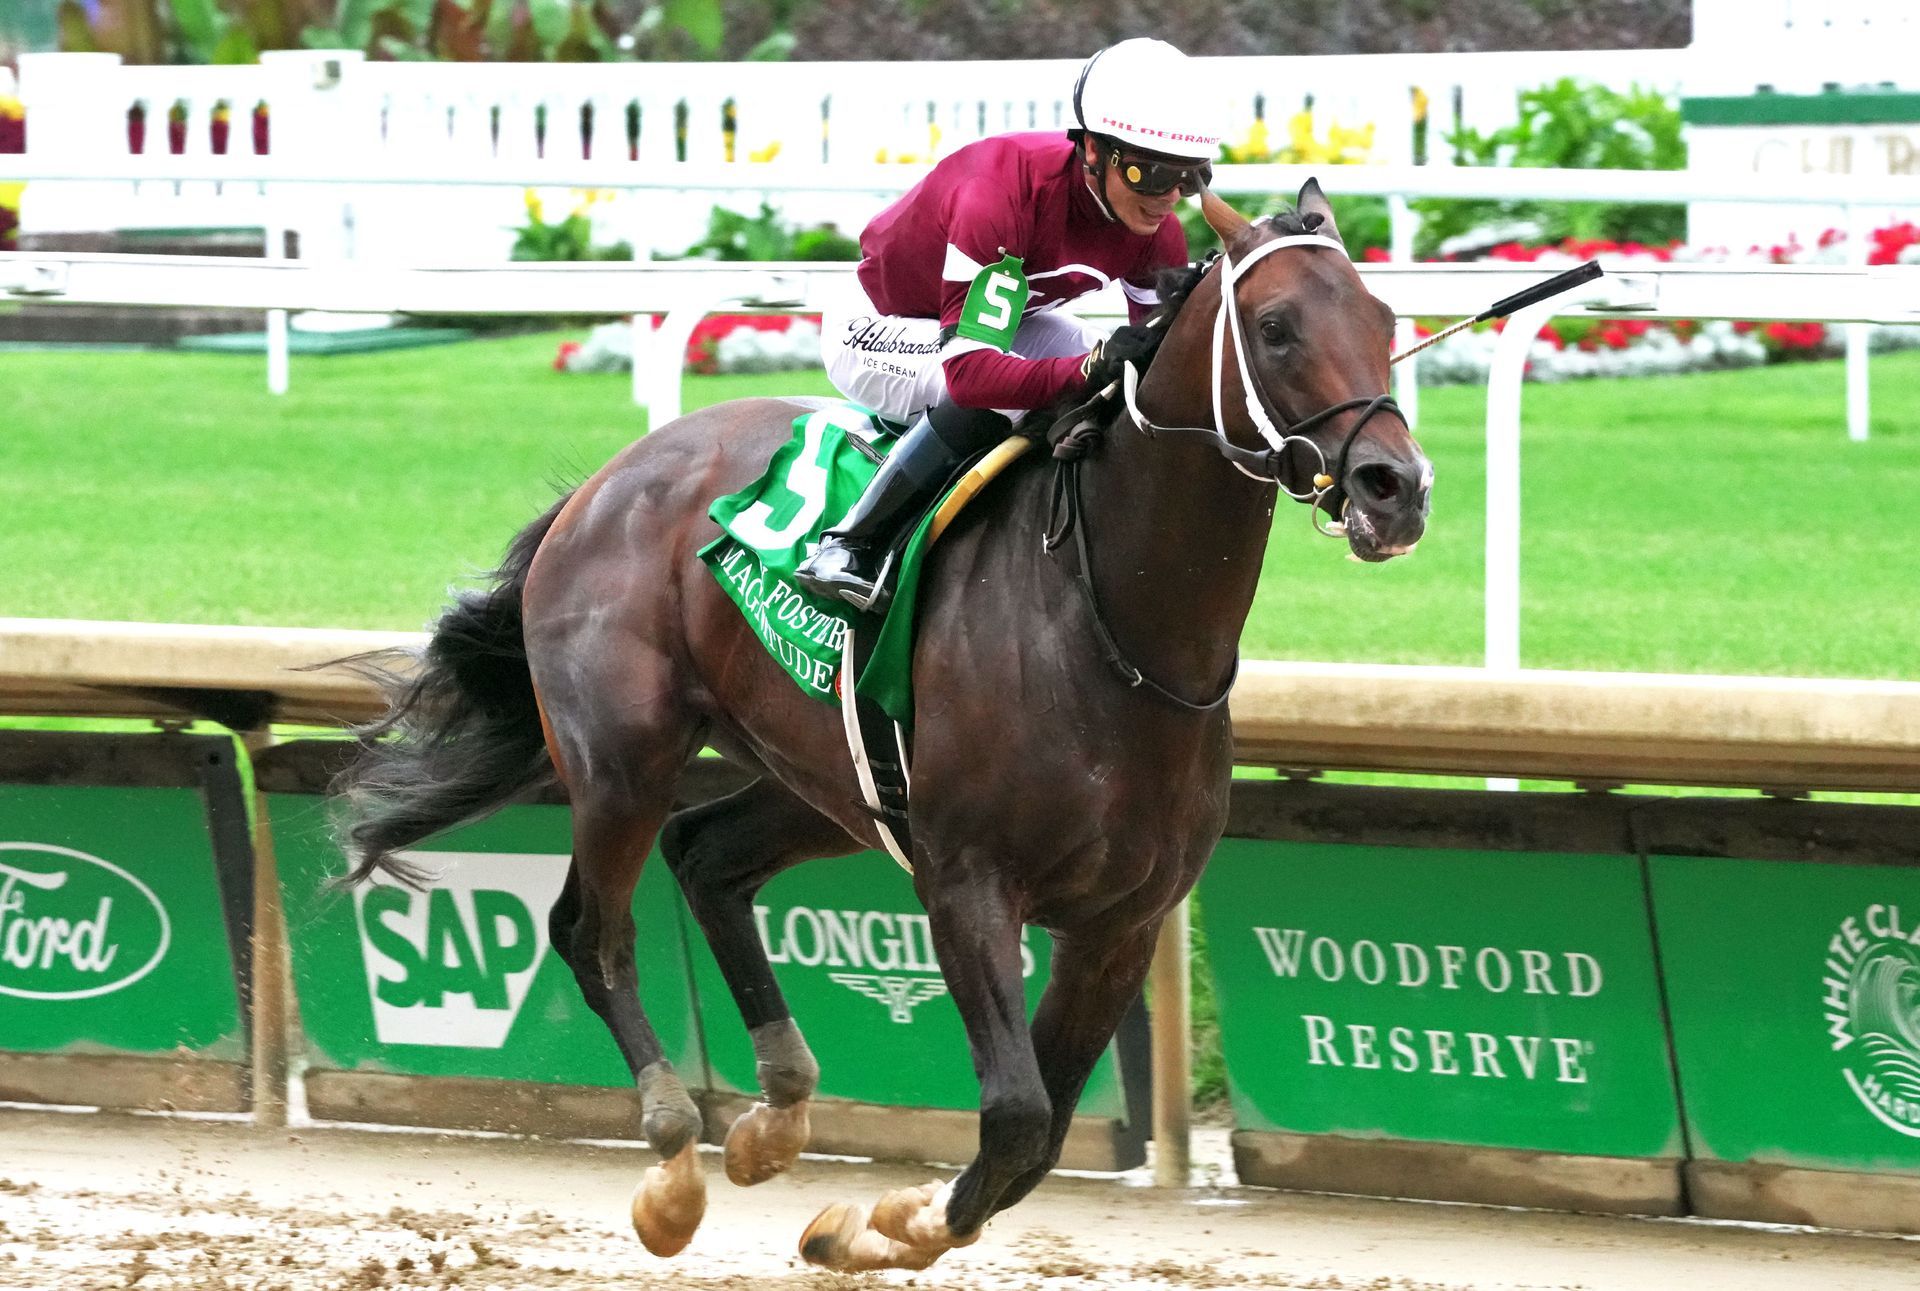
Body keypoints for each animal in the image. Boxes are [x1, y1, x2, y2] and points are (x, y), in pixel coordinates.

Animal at [332, 180, 1431, 1271]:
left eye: (1384, 318)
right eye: (1276, 327)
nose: (1396, 488)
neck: (1113, 629)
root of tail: (604, 483)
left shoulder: (1122, 920)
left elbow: (1040, 1135)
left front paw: (879, 1220)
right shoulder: (968, 883)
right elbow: (1018, 1114)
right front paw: (883, 1223)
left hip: (828, 782)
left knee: (705, 854)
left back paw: (774, 1114)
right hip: (622, 760)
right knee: (590, 929)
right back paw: (674, 1158)